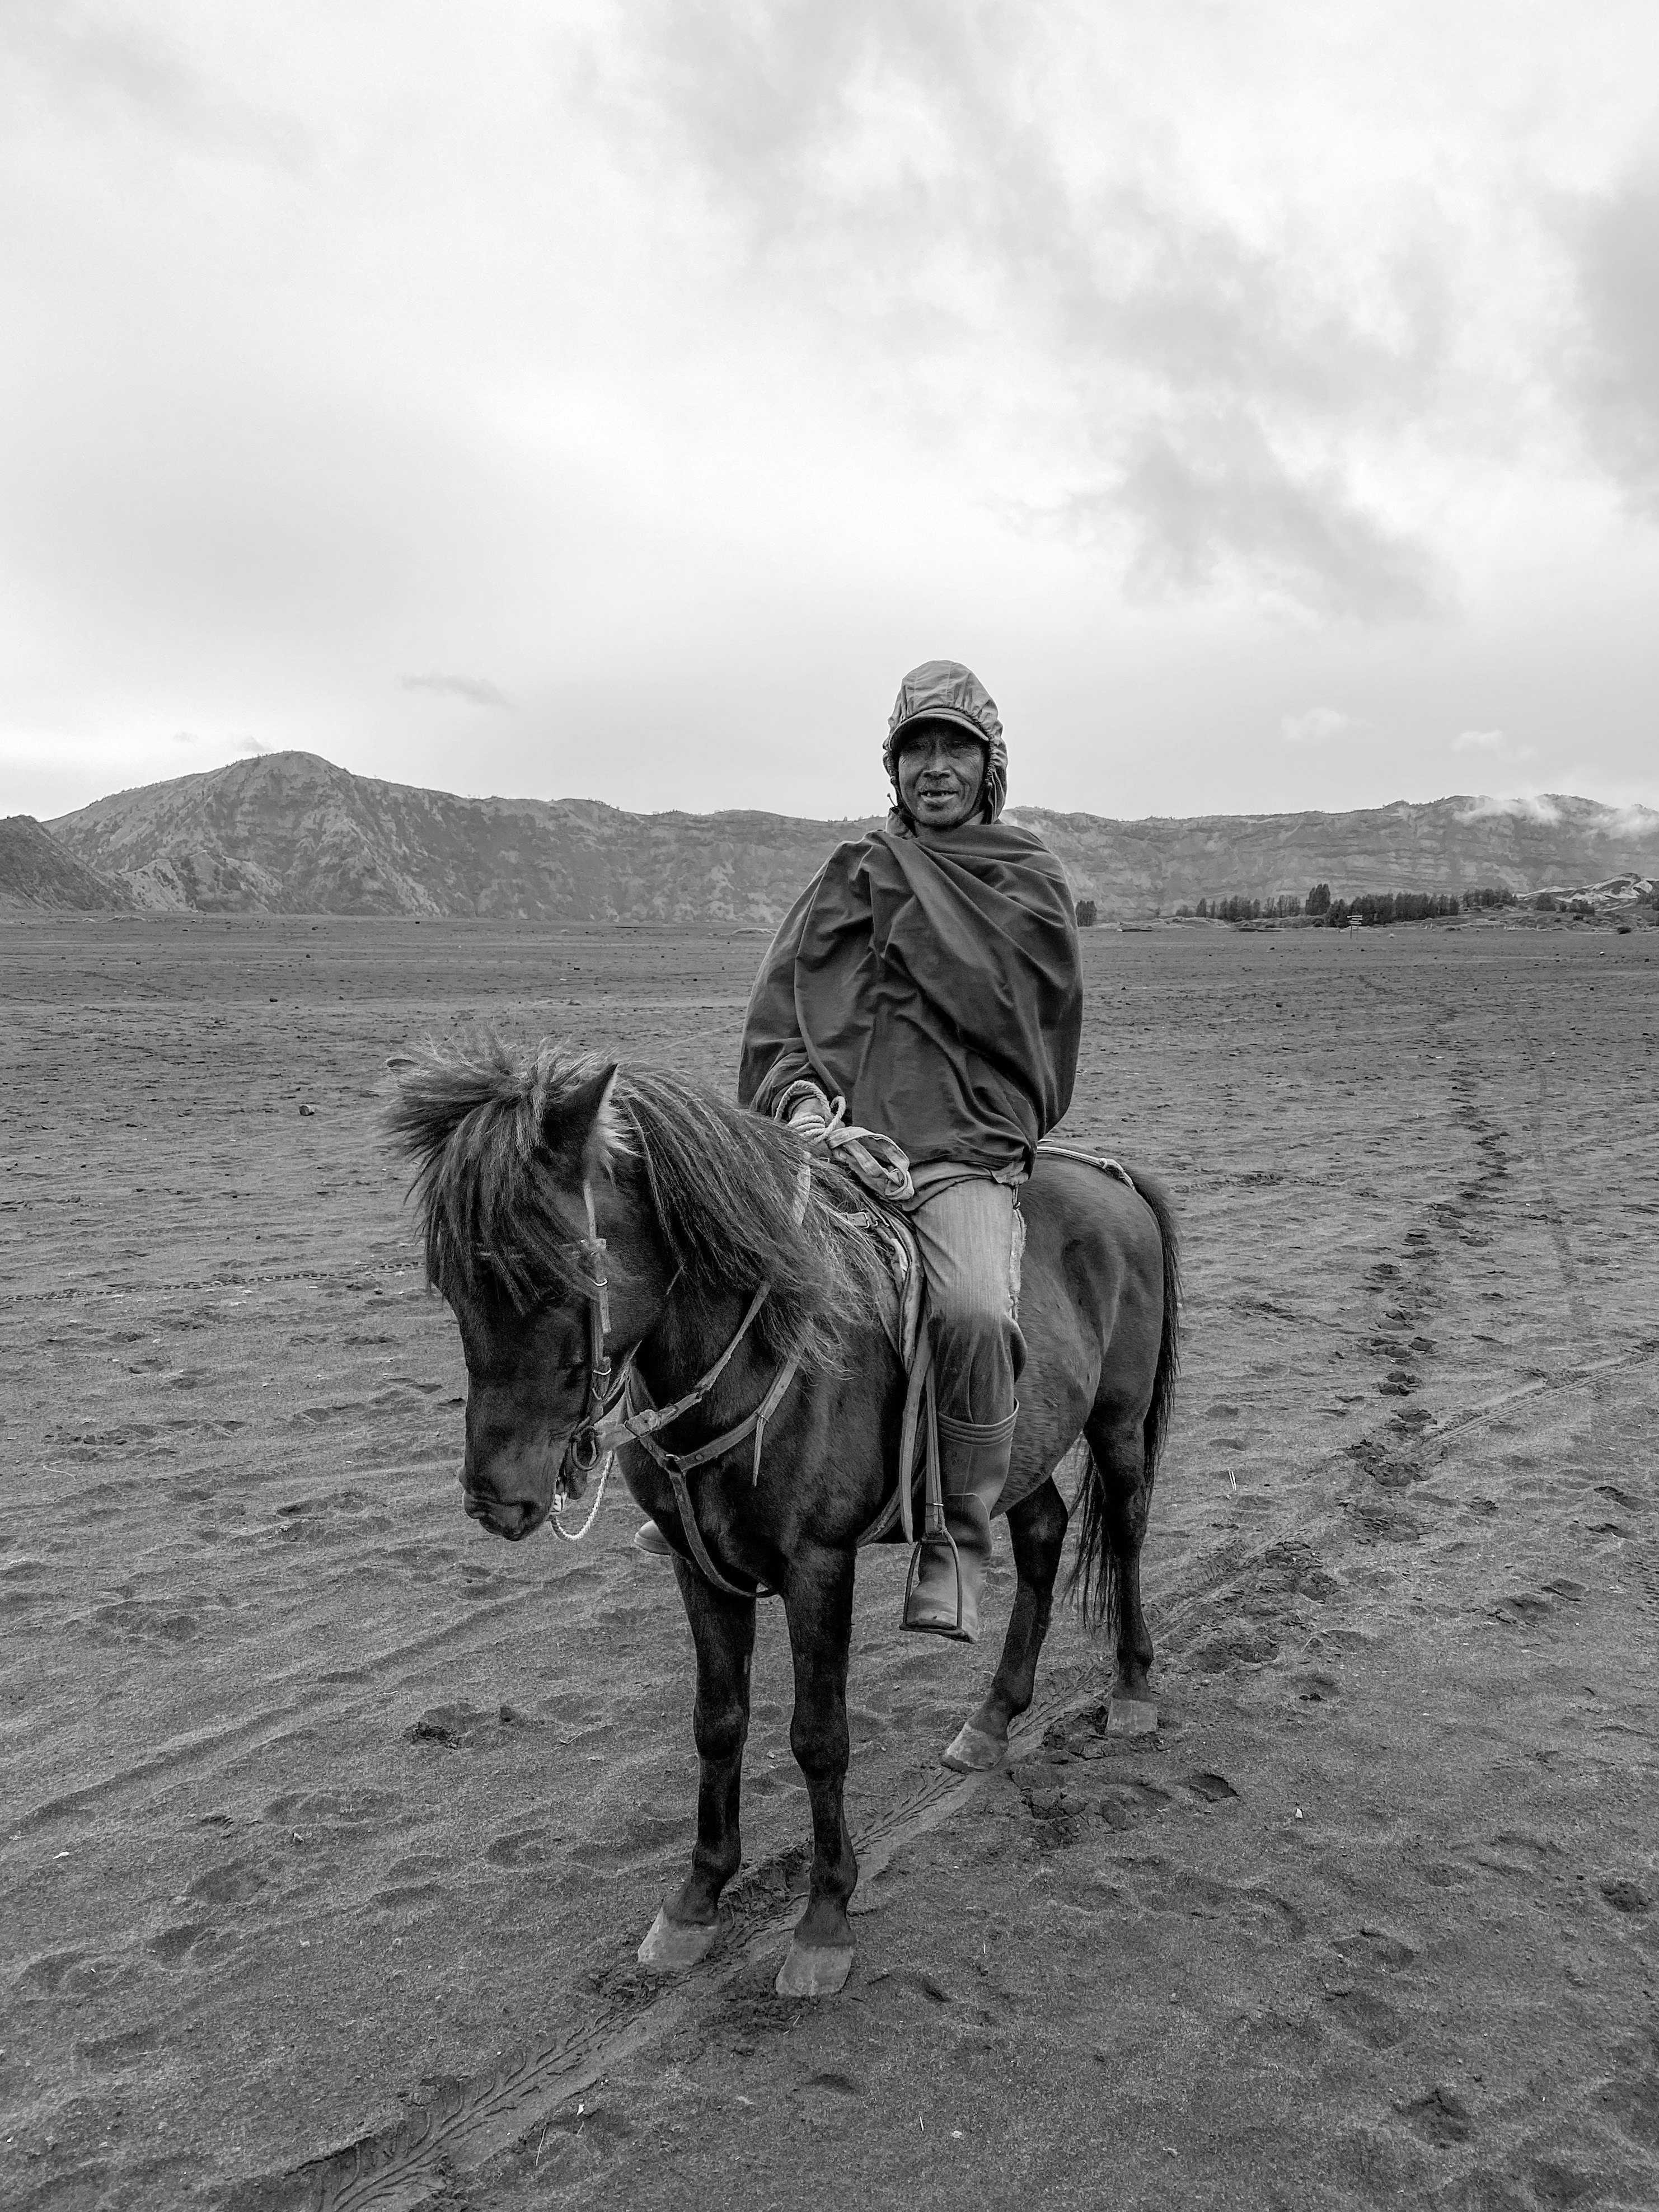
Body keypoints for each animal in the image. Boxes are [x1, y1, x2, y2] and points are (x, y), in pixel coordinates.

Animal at [387, 1044, 1185, 1999]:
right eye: (449, 1283)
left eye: (556, 1276)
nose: (495, 1498)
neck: (752, 1352)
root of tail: (1113, 1177)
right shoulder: (696, 1564)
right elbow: (718, 1722)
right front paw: (696, 1901)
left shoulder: (818, 1565)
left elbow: (819, 1738)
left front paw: (824, 1918)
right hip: (1023, 1439)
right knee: (1039, 1537)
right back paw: (994, 1719)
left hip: (1116, 1423)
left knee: (1127, 1529)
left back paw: (1133, 1690)